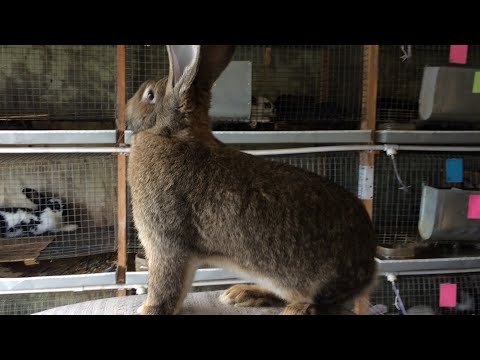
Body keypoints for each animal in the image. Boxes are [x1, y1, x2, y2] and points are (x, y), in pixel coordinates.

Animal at [125, 45, 376, 316]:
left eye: (150, 95)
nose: (126, 111)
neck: (171, 134)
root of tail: (369, 267)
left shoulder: (166, 243)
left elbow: (165, 288)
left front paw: (147, 310)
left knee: (321, 302)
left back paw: (297, 309)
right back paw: (244, 294)